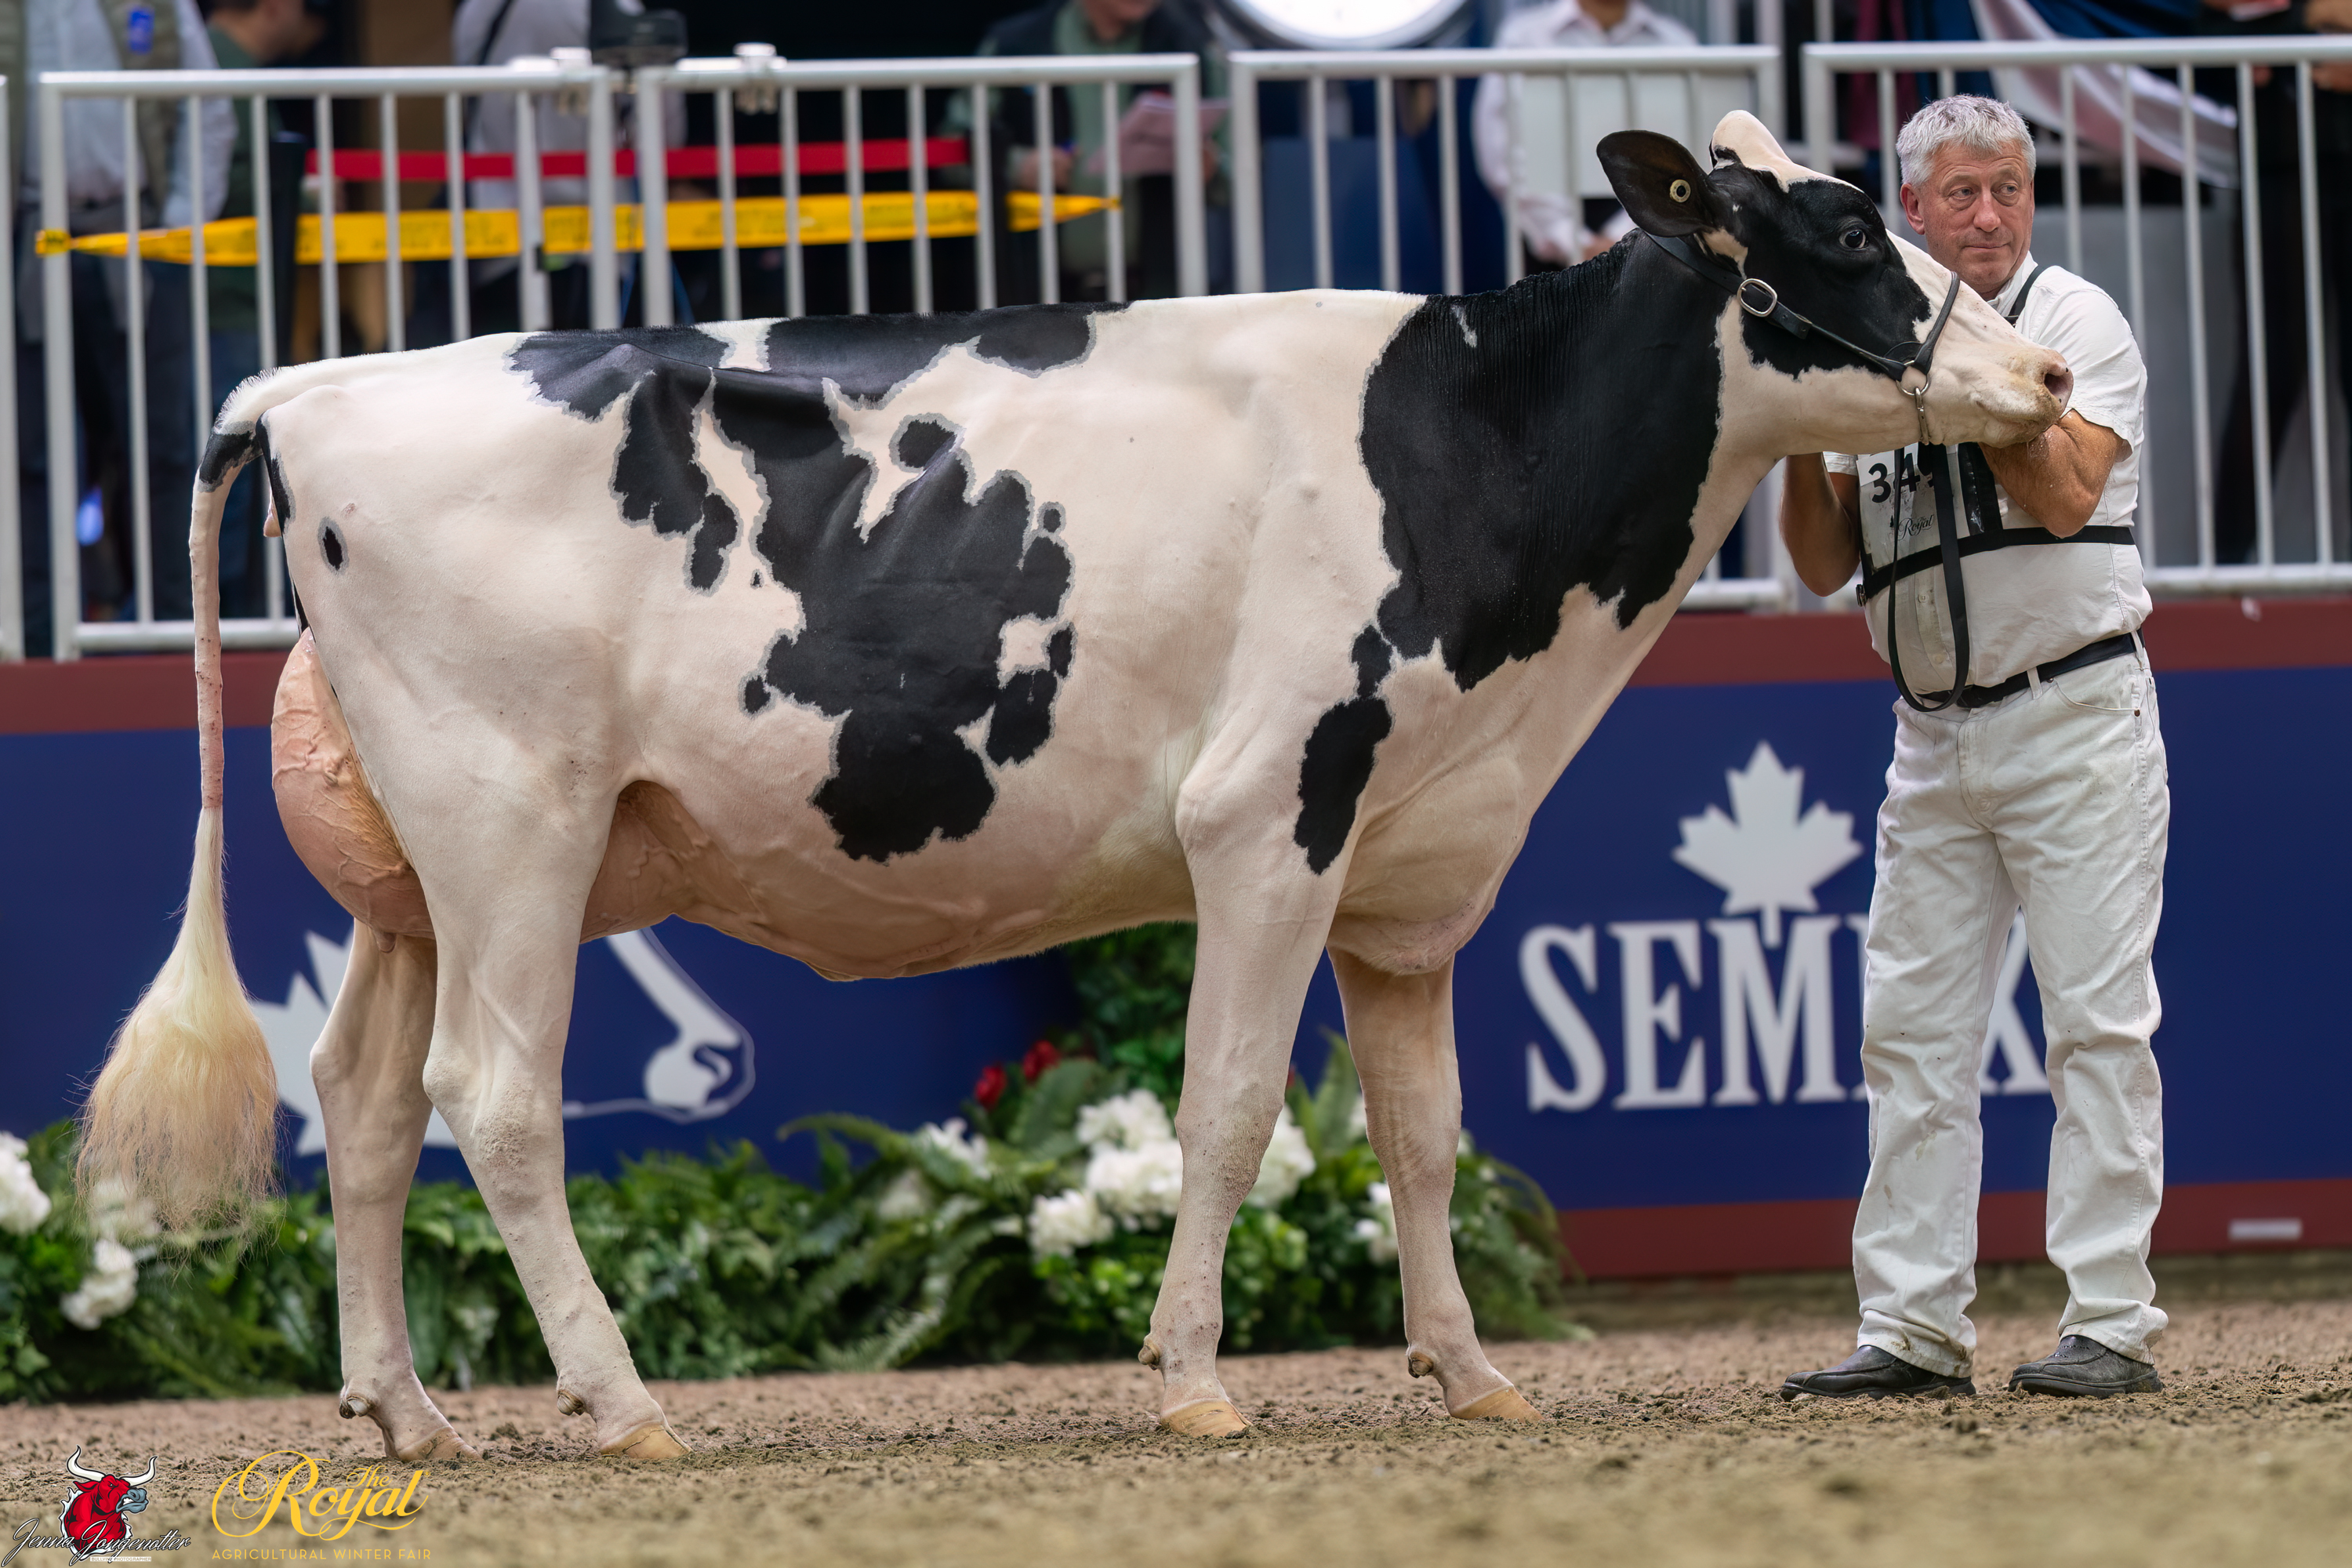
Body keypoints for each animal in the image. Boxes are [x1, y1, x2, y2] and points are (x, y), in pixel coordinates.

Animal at [79, 115, 2068, 1462]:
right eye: (1840, 227)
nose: (2049, 367)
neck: (1480, 460)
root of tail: (311, 380)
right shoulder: (1271, 806)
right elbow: (1230, 1106)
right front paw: (1189, 1377)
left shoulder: (1417, 857)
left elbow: (1422, 1129)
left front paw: (1470, 1369)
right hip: (515, 824)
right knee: (492, 1100)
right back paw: (622, 1396)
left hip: (408, 865)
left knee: (360, 1092)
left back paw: (406, 1410)